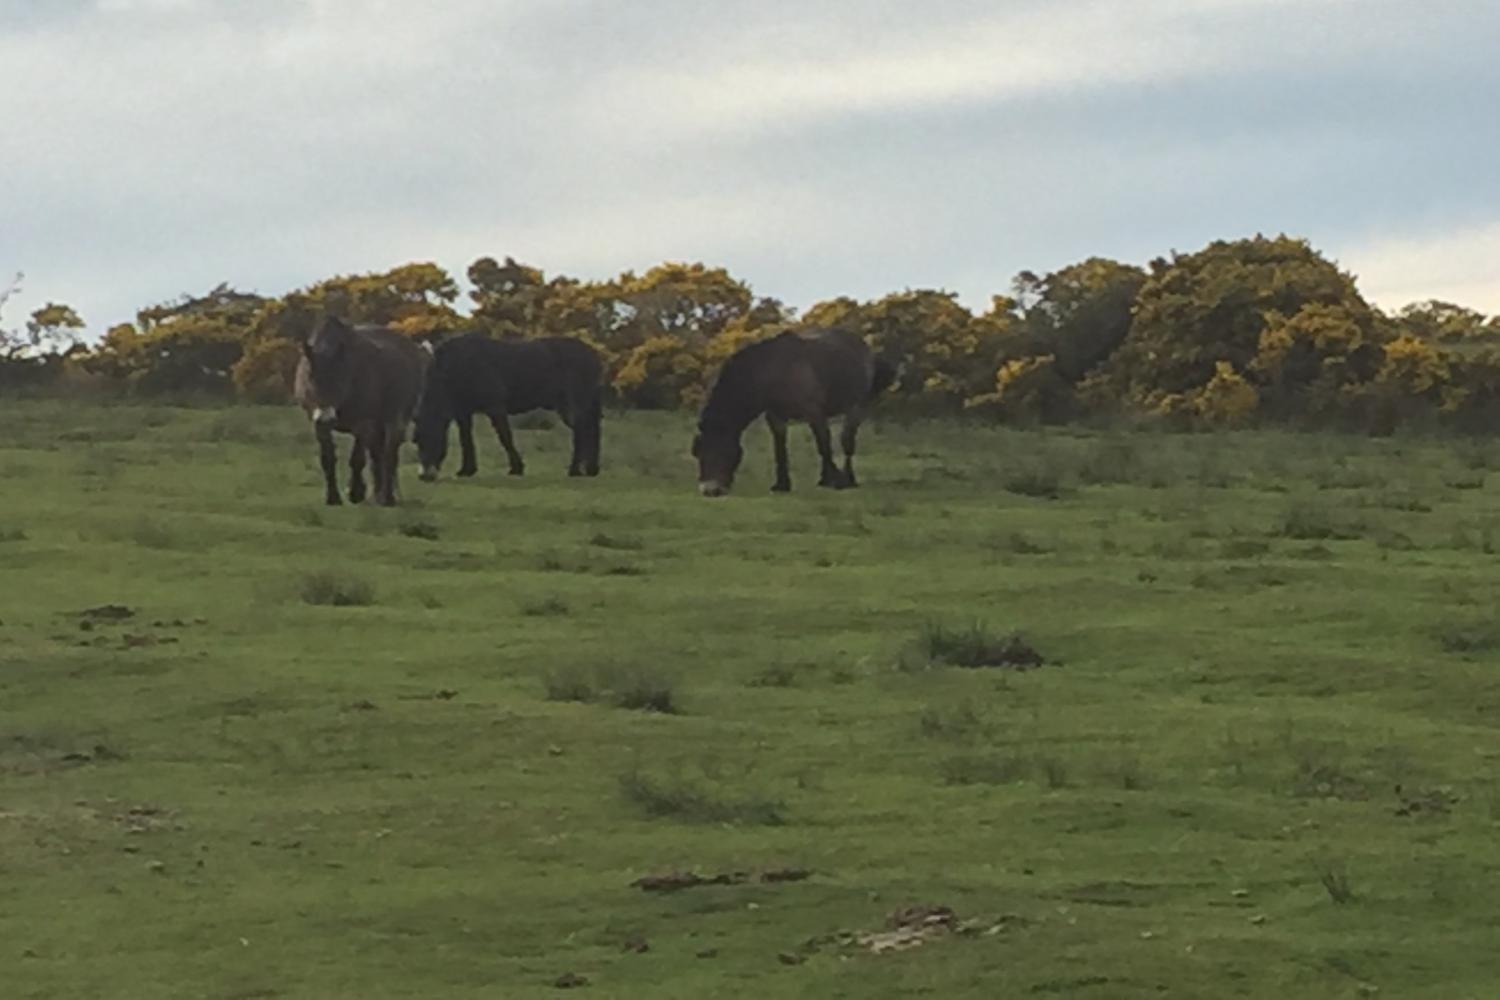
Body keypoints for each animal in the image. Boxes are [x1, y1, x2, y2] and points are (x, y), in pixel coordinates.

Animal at [294, 319, 432, 509]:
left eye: (338, 380)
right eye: (310, 378)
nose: (325, 418)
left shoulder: (363, 424)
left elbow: (357, 459)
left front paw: (355, 493)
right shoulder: (318, 424)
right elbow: (328, 459)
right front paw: (333, 497)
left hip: (395, 420)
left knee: (389, 454)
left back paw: (387, 498)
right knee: (377, 455)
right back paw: (377, 494)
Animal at [411, 332, 603, 479]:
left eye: (430, 435)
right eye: (417, 440)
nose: (424, 475)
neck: (457, 366)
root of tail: (593, 354)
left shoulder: (495, 407)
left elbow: (505, 437)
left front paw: (516, 468)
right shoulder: (463, 413)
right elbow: (466, 440)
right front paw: (467, 470)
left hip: (574, 403)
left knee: (582, 431)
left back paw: (575, 470)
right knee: (589, 430)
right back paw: (591, 469)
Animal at [687, 329, 888, 497]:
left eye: (721, 450)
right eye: (698, 453)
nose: (710, 490)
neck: (773, 371)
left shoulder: (814, 412)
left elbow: (823, 445)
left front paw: (832, 480)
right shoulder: (775, 417)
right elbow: (780, 449)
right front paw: (782, 485)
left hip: (856, 406)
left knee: (847, 442)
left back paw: (849, 479)